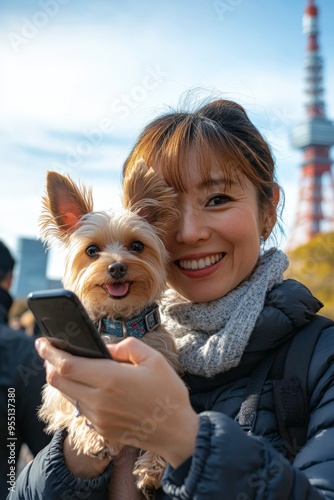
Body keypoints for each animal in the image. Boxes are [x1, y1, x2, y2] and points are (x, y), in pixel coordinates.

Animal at [38, 160, 183, 496]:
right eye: (92, 251)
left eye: (137, 246)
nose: (117, 266)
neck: (122, 324)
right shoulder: (55, 391)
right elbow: (71, 405)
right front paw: (95, 436)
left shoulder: (163, 373)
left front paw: (153, 467)